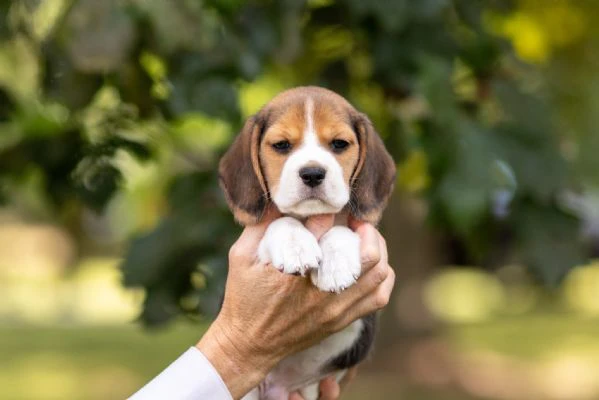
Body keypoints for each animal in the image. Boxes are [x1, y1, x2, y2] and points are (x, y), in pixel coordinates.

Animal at [218, 86, 396, 400]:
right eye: (281, 145)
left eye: (339, 144)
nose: (312, 173)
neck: (309, 217)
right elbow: (280, 223)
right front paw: (295, 247)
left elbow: (341, 231)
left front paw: (336, 266)